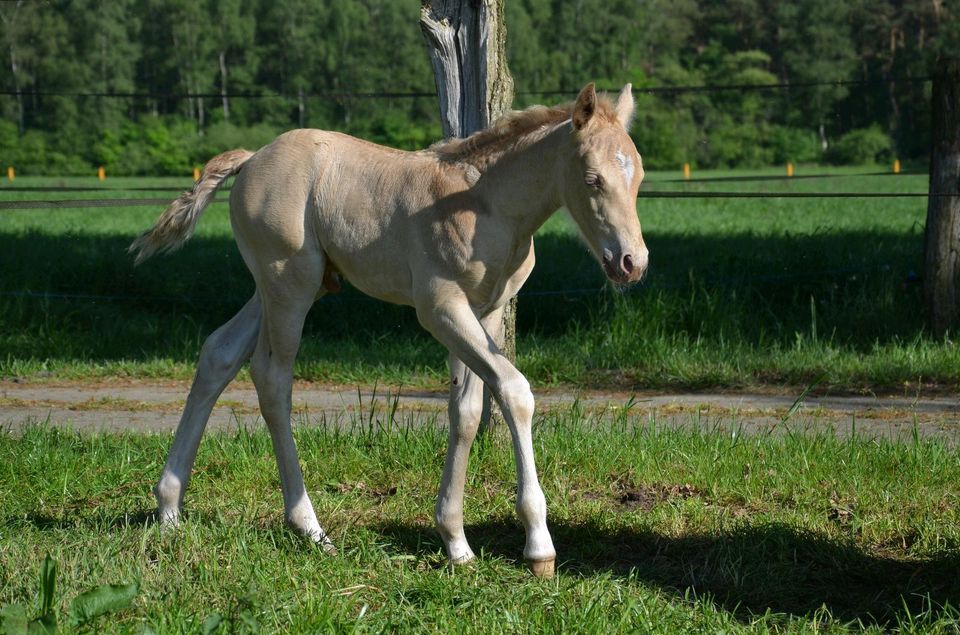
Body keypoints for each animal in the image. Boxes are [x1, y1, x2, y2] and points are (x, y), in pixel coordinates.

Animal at [129, 82, 652, 580]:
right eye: (592, 178)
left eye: (640, 177)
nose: (632, 263)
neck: (487, 204)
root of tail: (253, 158)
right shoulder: (440, 308)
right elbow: (514, 390)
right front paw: (539, 546)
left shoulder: (485, 312)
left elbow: (467, 411)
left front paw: (456, 543)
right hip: (289, 284)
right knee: (272, 378)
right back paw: (309, 527)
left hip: (282, 287)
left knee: (218, 353)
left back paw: (170, 508)